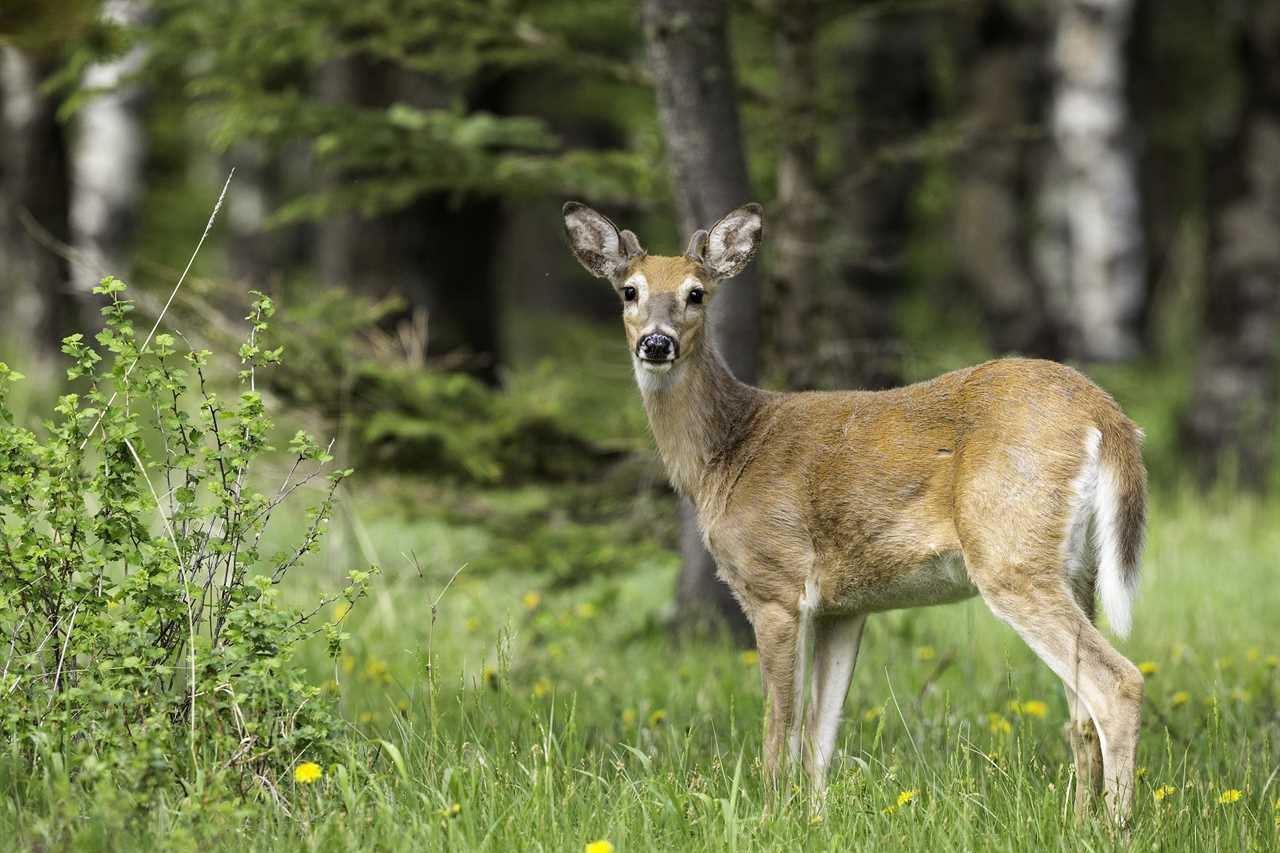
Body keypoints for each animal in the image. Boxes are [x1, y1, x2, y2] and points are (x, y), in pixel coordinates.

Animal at [562, 200, 1149, 824]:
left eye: (696, 293)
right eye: (629, 290)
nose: (656, 342)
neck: (727, 454)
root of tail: (1107, 417)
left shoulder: (776, 585)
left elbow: (780, 727)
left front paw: (769, 817)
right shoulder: (845, 607)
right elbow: (820, 734)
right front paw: (815, 820)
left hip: (1009, 553)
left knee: (1118, 684)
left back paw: (1115, 827)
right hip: (1076, 569)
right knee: (1080, 714)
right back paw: (1079, 821)